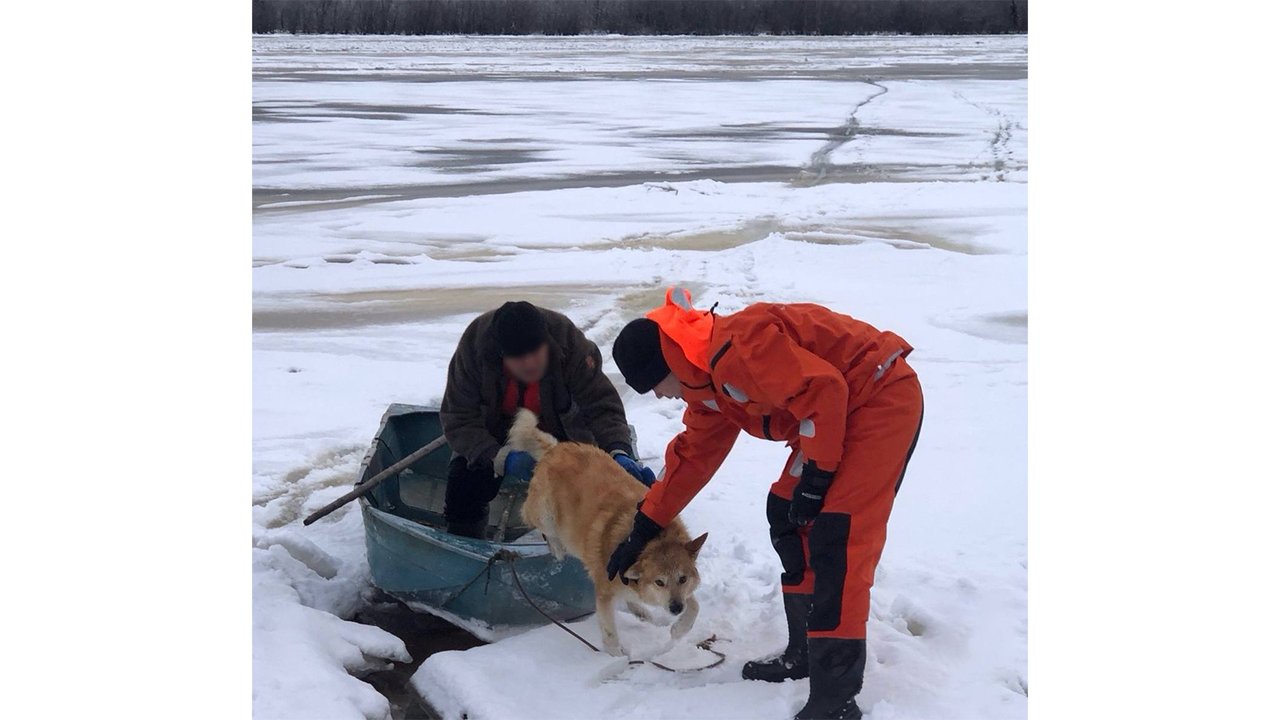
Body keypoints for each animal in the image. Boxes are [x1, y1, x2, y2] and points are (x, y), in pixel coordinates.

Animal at [504, 407, 711, 653]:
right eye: (659, 582)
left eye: (682, 579)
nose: (675, 608)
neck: (646, 541)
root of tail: (556, 448)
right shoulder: (604, 594)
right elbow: (610, 632)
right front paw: (614, 656)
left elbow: (695, 605)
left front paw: (679, 629)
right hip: (545, 513)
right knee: (535, 521)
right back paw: (557, 547)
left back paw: (641, 611)